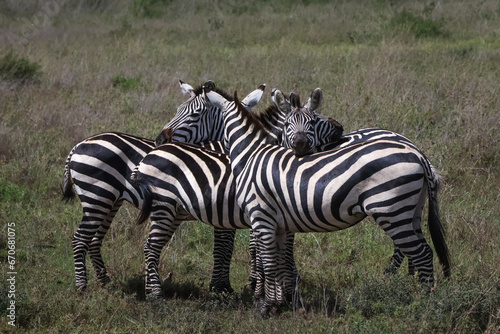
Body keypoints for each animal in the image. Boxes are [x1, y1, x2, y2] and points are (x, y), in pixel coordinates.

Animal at [62, 80, 264, 292]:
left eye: (194, 114)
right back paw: (82, 287)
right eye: (179, 110)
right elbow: (225, 248)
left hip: (109, 200)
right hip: (97, 196)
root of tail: (78, 145)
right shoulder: (222, 207)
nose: (160, 140)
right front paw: (222, 287)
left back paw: (104, 280)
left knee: (93, 240)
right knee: (80, 239)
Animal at [202, 87, 450, 318]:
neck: (251, 155)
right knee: (420, 251)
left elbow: (268, 261)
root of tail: (418, 154)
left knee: (422, 253)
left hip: (392, 209)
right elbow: (279, 261)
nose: (214, 148)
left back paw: (425, 304)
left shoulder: (261, 217)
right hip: (410, 210)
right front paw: (281, 303)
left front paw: (266, 307)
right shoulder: (278, 224)